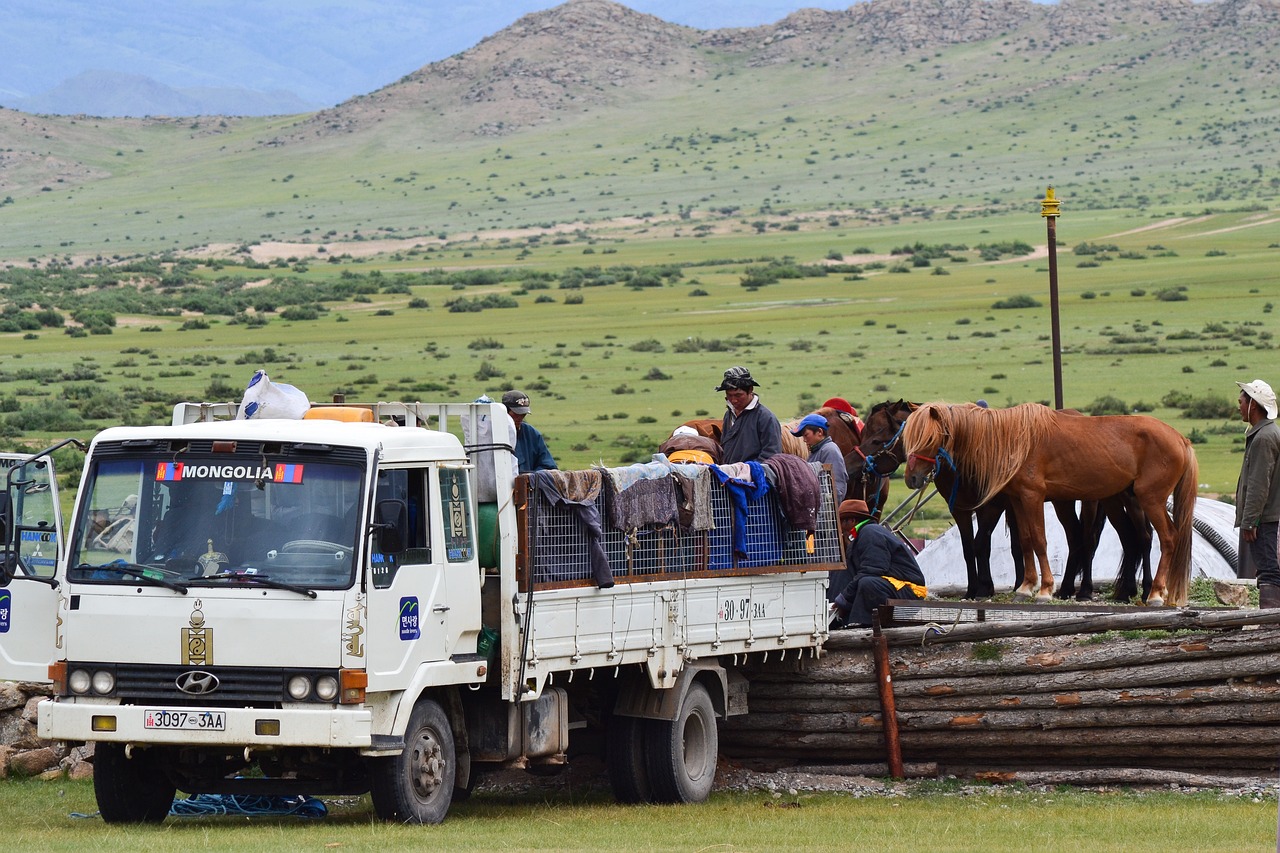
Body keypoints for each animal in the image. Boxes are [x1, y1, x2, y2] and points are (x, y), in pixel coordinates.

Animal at [901, 399, 1198, 604]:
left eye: (928, 438)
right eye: (906, 438)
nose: (912, 479)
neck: (1011, 440)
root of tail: (1180, 439)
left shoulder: (1032, 497)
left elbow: (1039, 540)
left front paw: (1044, 589)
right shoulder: (1017, 500)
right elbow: (1026, 542)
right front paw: (1025, 587)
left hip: (1150, 500)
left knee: (1167, 538)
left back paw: (1155, 593)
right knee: (1134, 539)